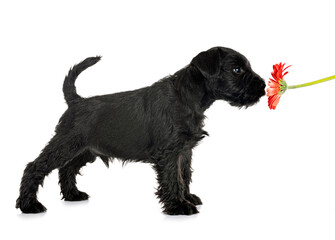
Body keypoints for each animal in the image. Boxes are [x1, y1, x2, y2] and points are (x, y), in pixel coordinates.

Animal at [16, 46, 268, 214]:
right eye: (237, 69)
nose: (263, 85)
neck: (187, 96)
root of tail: (76, 101)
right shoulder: (169, 152)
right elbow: (173, 178)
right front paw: (179, 206)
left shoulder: (184, 150)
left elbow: (184, 175)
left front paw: (187, 197)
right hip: (67, 144)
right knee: (35, 167)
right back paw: (29, 205)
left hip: (87, 150)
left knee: (67, 169)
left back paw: (73, 195)